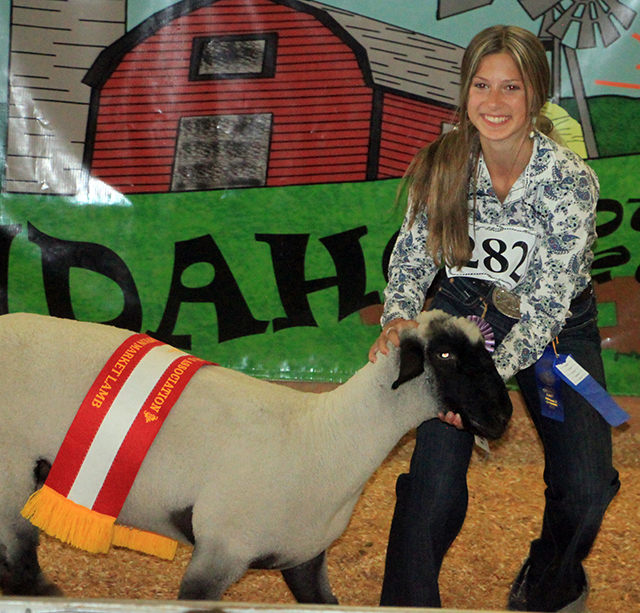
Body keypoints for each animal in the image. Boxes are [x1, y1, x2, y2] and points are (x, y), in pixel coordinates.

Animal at [0, 310, 512, 602]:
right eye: (444, 355)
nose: (503, 414)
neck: (326, 438)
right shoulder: (220, 551)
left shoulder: (304, 557)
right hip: (12, 476)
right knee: (20, 556)